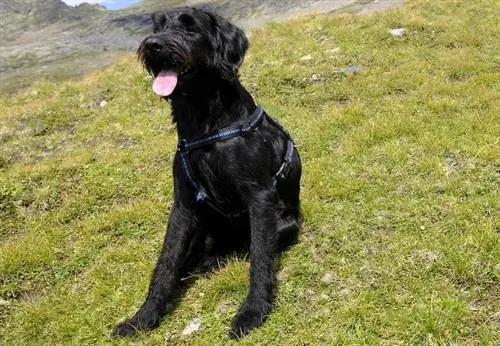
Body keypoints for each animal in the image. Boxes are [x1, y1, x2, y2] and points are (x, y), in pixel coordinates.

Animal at [112, 6, 300, 340]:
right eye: (157, 26)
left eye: (190, 28)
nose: (153, 45)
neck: (204, 123)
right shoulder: (184, 205)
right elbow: (166, 262)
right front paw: (142, 318)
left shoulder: (260, 196)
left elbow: (260, 256)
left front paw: (253, 311)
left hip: (285, 223)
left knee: (243, 247)